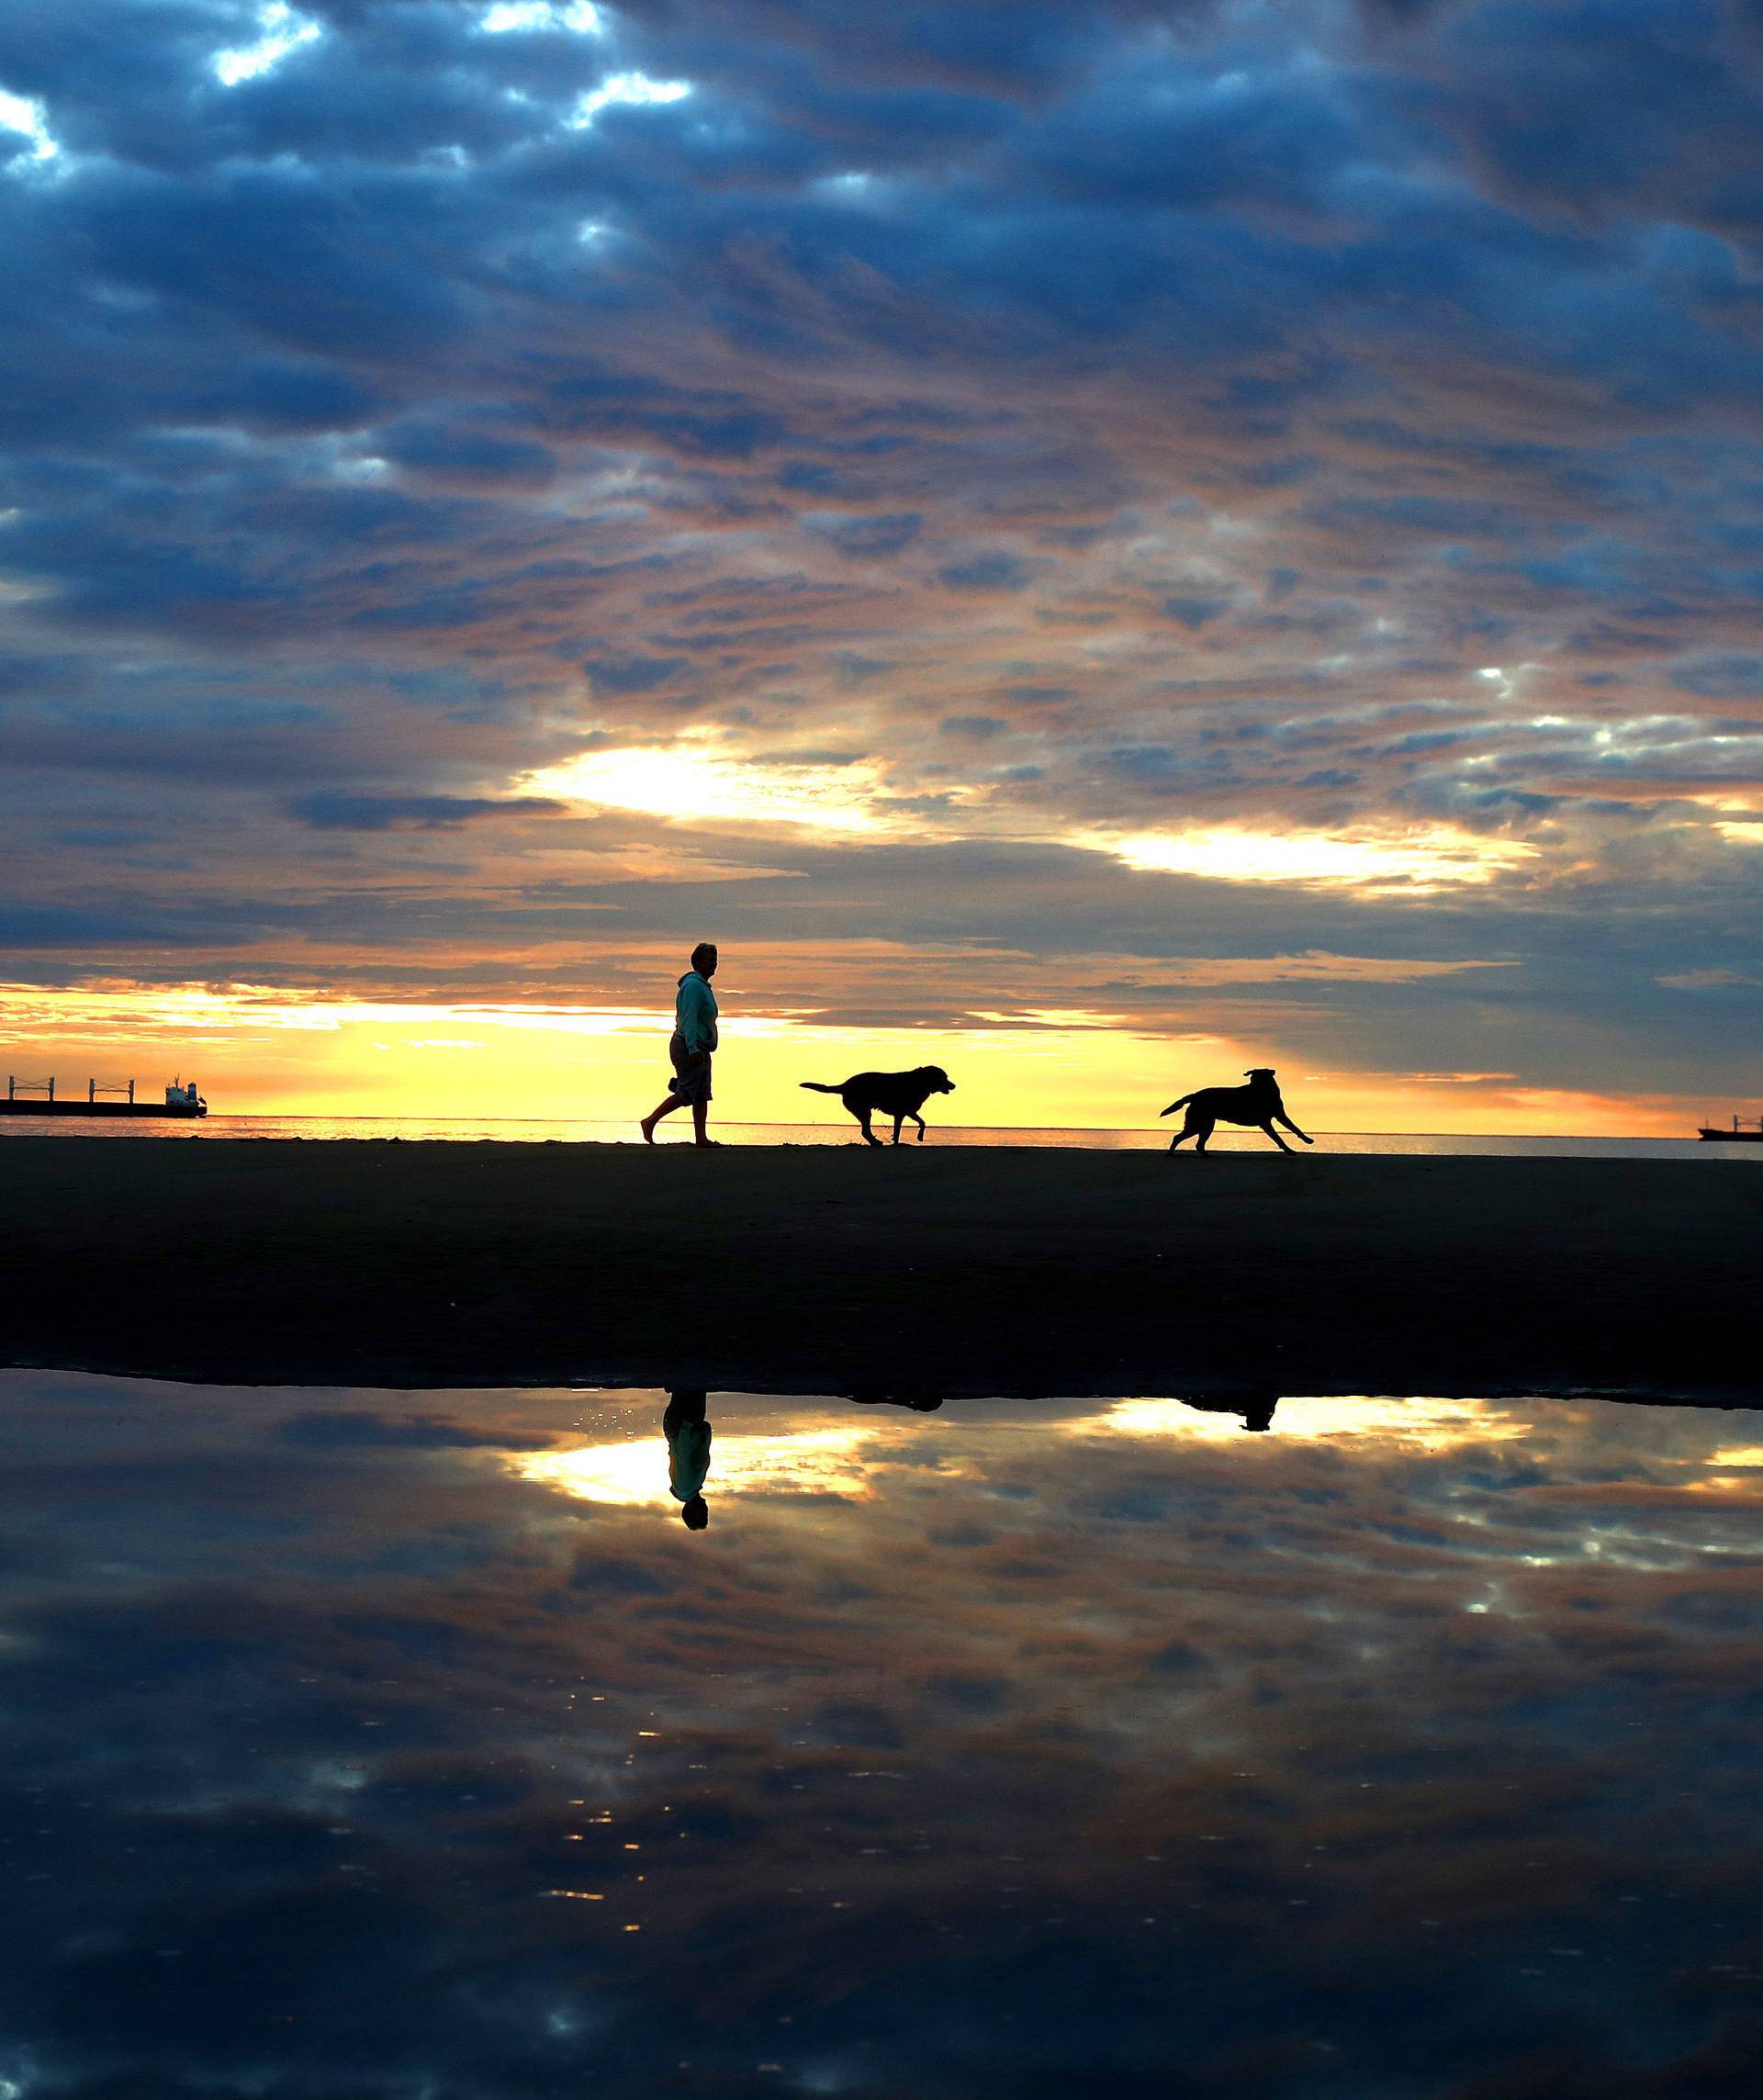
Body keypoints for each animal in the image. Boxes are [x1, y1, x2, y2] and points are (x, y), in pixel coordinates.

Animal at [805, 1066, 957, 1151]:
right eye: (943, 1077)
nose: (954, 1085)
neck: (920, 1082)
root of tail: (845, 1084)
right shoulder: (902, 1113)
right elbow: (900, 1130)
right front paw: (899, 1142)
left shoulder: (907, 1112)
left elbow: (921, 1123)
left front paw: (916, 1137)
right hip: (864, 1111)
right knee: (865, 1131)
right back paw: (876, 1142)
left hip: (863, 1111)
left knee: (865, 1131)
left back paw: (875, 1142)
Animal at [1166, 1074, 1318, 1159]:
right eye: (1252, 1079)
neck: (1266, 1092)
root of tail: (1194, 1095)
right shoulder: (1267, 1122)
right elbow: (1280, 1137)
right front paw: (1290, 1150)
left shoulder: (1279, 1116)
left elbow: (1294, 1128)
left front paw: (1307, 1140)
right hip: (1199, 1124)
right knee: (1179, 1138)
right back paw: (1171, 1153)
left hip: (1204, 1125)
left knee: (1197, 1144)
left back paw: (1205, 1155)